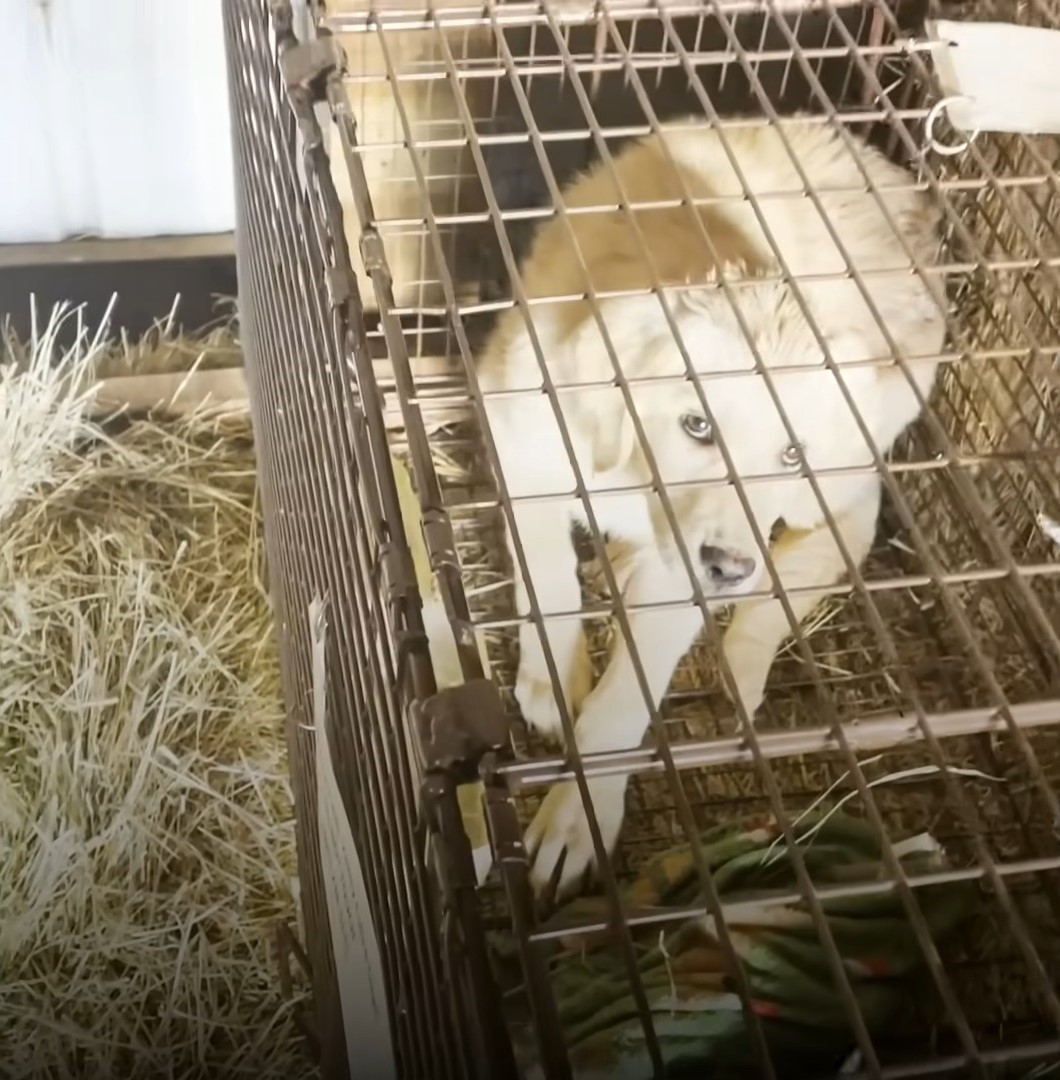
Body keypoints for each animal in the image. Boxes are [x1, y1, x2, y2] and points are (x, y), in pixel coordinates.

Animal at [475, 113, 946, 898]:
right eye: (697, 425)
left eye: (790, 451)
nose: (726, 566)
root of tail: (877, 162)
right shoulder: (517, 428)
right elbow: (544, 571)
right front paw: (553, 677)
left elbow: (626, 700)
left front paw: (576, 819)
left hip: (861, 444)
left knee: (840, 535)